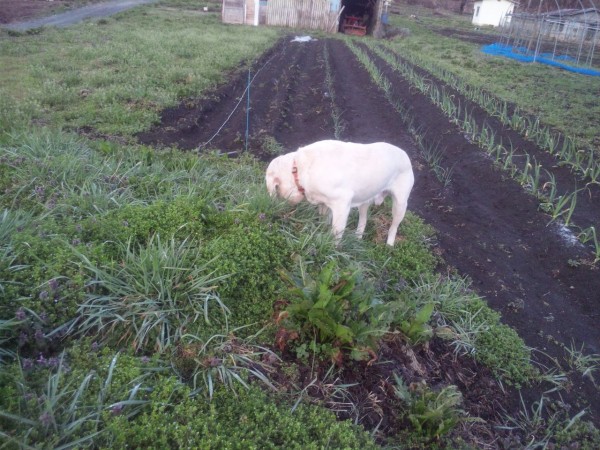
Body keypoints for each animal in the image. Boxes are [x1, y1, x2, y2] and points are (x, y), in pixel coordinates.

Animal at [264, 140, 414, 246]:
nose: (278, 212)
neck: (300, 169)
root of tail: (405, 155)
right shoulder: (324, 203)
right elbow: (324, 221)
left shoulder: (342, 204)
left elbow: (336, 233)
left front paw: (332, 249)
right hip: (365, 200)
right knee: (363, 219)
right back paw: (357, 237)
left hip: (400, 204)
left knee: (394, 226)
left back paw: (389, 245)